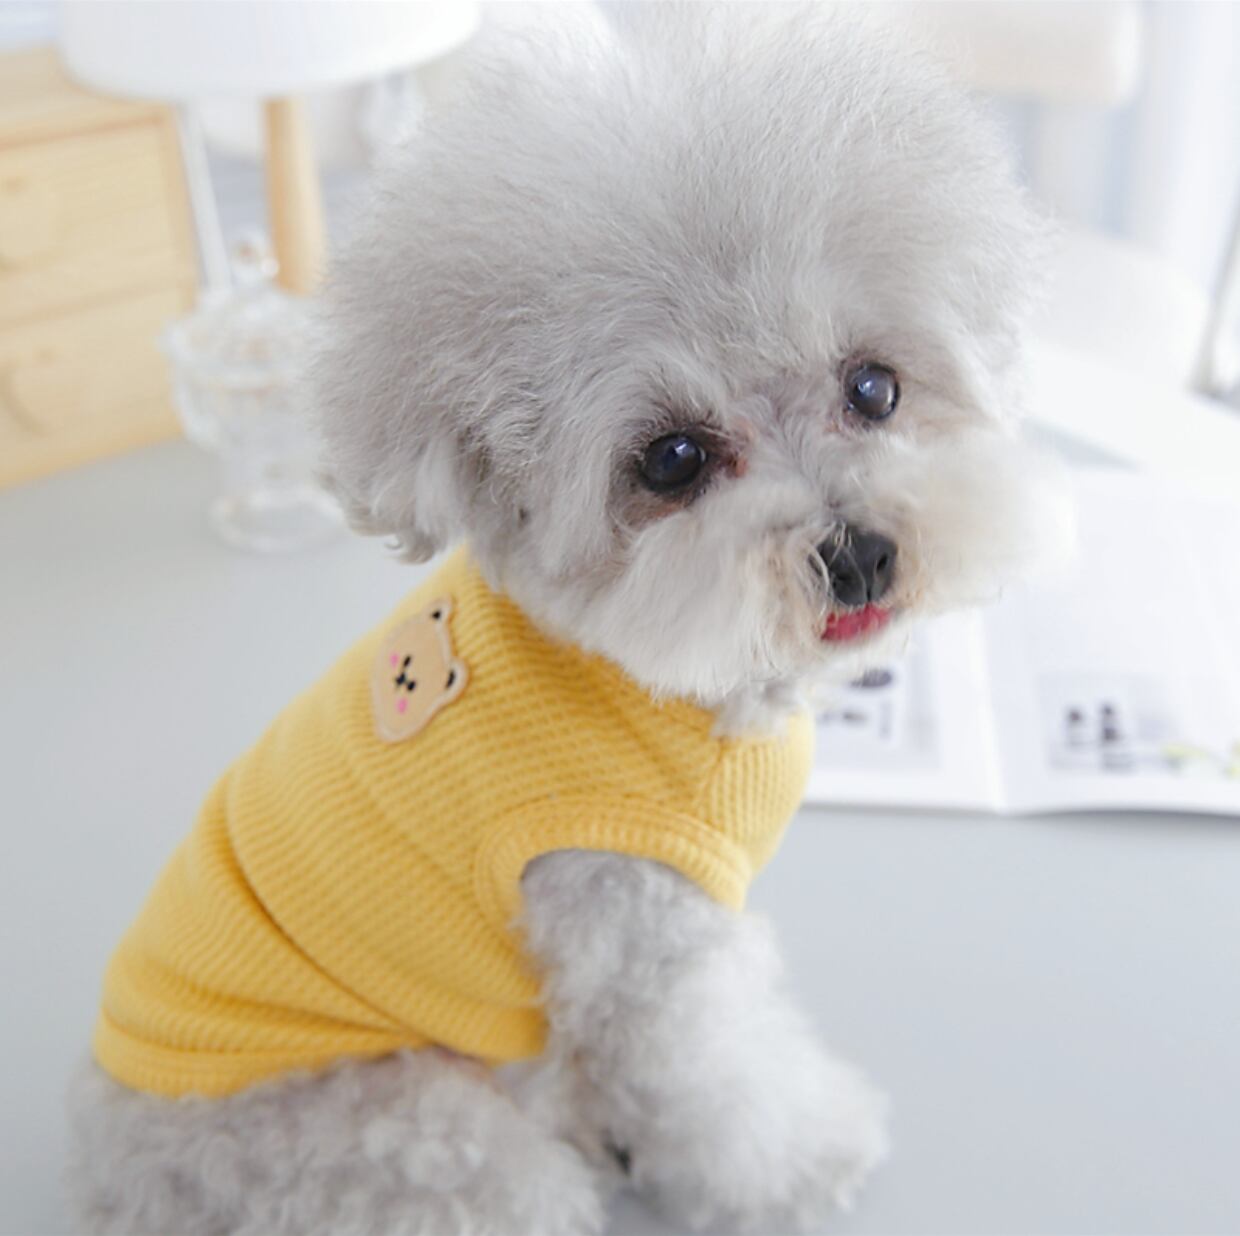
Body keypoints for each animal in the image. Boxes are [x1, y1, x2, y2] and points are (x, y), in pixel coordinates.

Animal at [68, 5, 1053, 1233]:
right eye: (671, 460)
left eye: (872, 388)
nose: (858, 554)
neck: (660, 686)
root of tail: (117, 1160)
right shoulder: (638, 926)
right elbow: (718, 1081)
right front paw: (796, 1157)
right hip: (415, 1148)